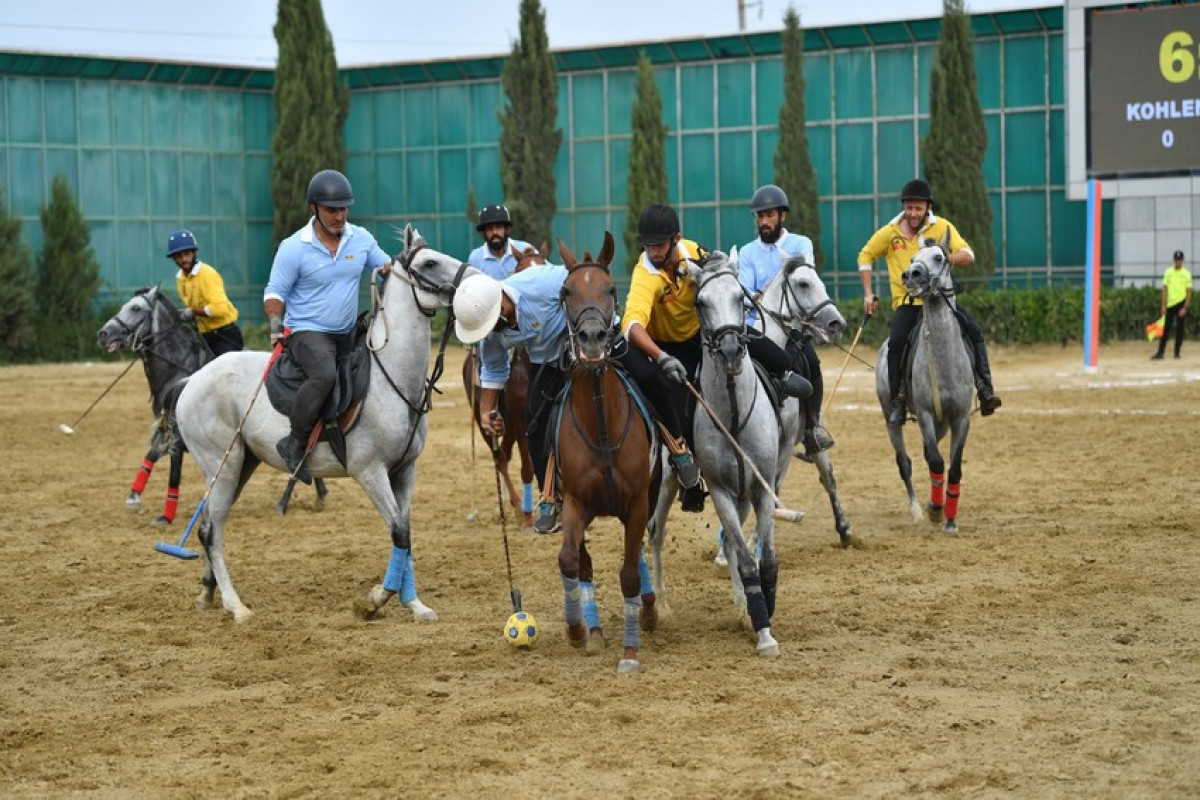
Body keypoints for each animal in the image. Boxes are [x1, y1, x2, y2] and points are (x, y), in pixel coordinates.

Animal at [170, 227, 477, 623]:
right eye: (429, 263)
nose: (476, 281)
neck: (391, 377)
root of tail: (192, 380)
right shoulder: (369, 471)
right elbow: (398, 532)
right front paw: (375, 600)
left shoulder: (404, 470)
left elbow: (406, 533)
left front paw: (415, 604)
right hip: (221, 466)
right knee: (210, 531)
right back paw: (235, 606)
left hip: (239, 466)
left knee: (210, 523)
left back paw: (207, 593)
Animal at [463, 244, 549, 532]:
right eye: (519, 269)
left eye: (545, 264)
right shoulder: (522, 421)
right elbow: (527, 467)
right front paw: (529, 518)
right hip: (483, 417)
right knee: (499, 457)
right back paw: (518, 510)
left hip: (506, 422)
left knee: (505, 454)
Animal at [878, 235, 969, 534]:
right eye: (913, 258)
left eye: (939, 257)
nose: (911, 274)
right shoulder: (927, 414)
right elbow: (937, 462)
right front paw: (936, 510)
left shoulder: (960, 418)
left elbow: (953, 467)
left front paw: (950, 520)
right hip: (891, 420)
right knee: (905, 462)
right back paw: (918, 509)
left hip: (942, 424)